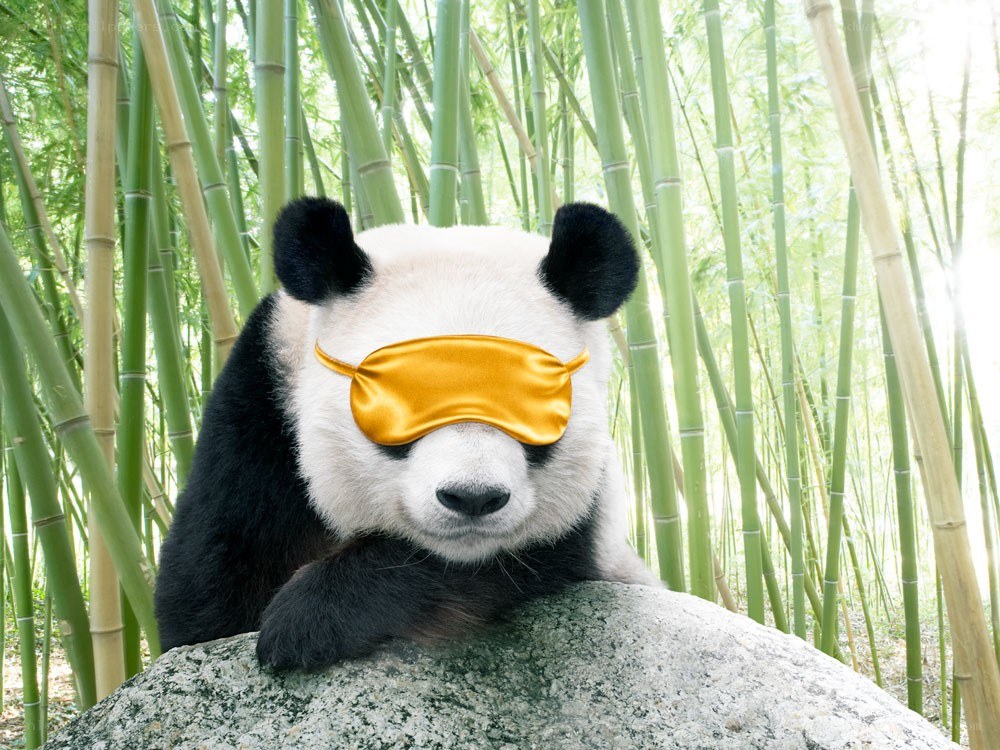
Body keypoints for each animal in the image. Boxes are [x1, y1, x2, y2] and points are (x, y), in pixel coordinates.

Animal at [154, 197, 657, 671]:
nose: (472, 498)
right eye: (403, 402)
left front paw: (310, 618)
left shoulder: (587, 526)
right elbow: (205, 596)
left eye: (530, 407)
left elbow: (509, 560)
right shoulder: (257, 421)